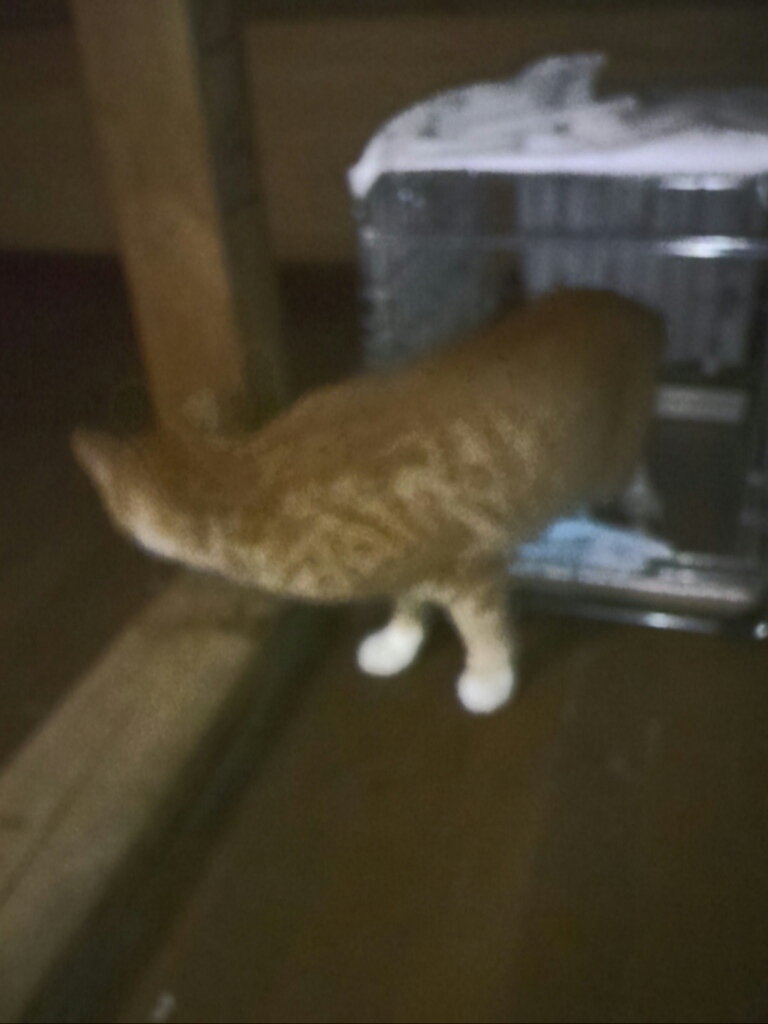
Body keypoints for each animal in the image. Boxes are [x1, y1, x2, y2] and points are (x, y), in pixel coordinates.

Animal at [72, 288, 664, 714]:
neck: (242, 476)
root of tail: (630, 305)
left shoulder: (467, 565)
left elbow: (482, 626)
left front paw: (489, 678)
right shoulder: (403, 561)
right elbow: (405, 599)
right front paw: (398, 642)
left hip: (610, 459)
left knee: (632, 470)